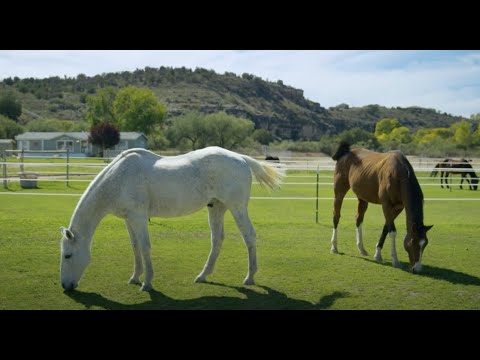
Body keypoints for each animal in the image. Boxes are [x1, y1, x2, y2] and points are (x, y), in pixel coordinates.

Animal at [61, 146, 284, 290]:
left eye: (67, 256)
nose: (65, 286)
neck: (119, 177)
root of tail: (241, 158)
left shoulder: (139, 218)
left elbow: (144, 247)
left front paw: (147, 282)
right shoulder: (129, 219)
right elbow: (135, 247)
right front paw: (135, 277)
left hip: (237, 208)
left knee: (249, 237)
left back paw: (249, 277)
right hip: (216, 208)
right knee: (217, 240)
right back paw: (203, 275)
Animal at [332, 142, 434, 272]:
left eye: (425, 243)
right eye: (412, 241)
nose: (417, 268)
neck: (398, 174)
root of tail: (346, 153)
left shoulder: (398, 208)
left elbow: (386, 228)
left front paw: (377, 254)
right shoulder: (386, 205)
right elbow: (392, 231)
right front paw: (395, 260)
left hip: (362, 198)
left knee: (358, 219)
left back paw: (362, 249)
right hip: (339, 192)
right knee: (336, 216)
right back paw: (334, 247)